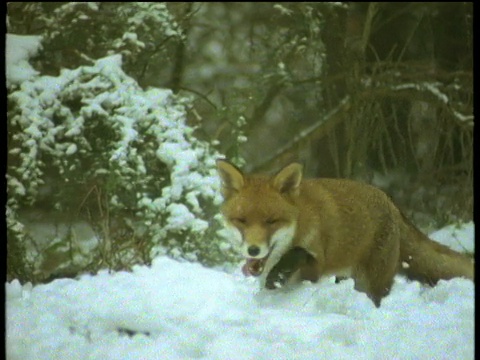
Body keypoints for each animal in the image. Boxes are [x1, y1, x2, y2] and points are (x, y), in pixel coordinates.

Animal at [217, 160, 472, 306]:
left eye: (271, 221)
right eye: (241, 220)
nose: (253, 249)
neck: (299, 223)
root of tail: (391, 202)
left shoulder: (316, 266)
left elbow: (298, 253)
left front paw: (276, 277)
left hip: (370, 283)